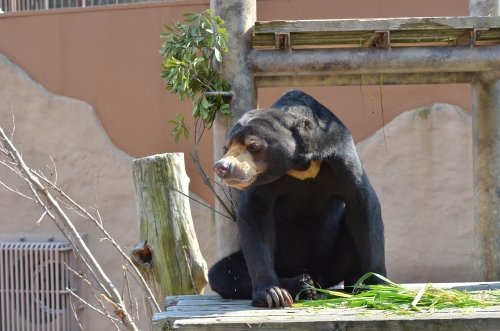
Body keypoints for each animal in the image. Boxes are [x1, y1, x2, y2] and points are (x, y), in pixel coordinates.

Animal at [209, 91, 384, 308]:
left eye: (253, 145)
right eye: (226, 148)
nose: (222, 167)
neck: (300, 164)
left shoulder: (341, 156)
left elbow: (362, 204)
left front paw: (378, 286)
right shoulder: (263, 180)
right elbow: (254, 213)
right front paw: (272, 294)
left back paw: (350, 285)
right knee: (221, 273)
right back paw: (303, 285)